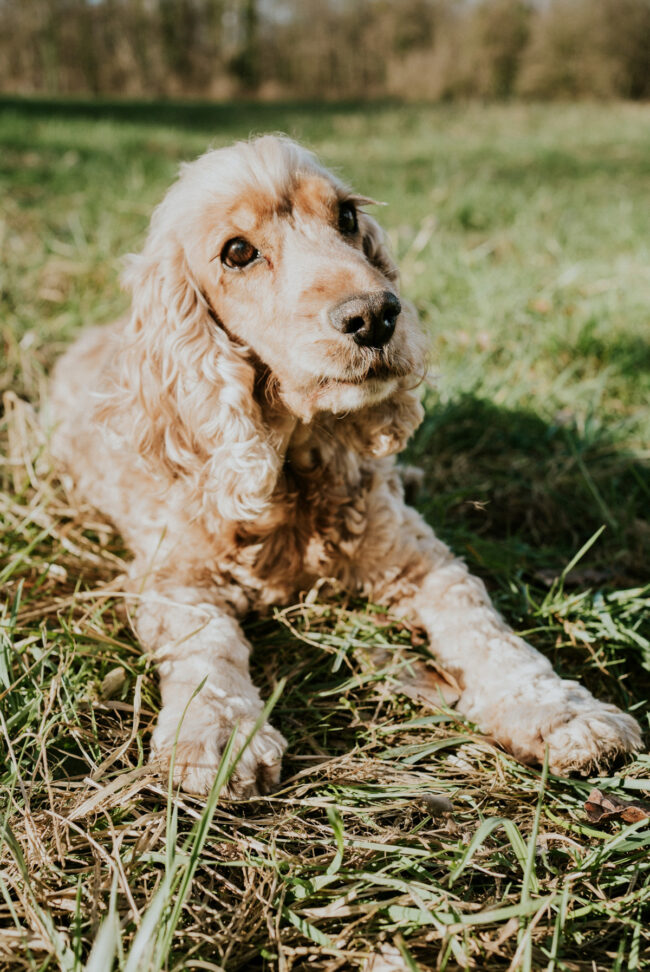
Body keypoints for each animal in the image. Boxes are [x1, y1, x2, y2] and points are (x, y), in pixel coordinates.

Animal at [48, 137, 640, 792]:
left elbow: (485, 630)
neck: (295, 469)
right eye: (237, 252)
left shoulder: (421, 559)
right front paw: (217, 734)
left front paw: (562, 712)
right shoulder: (175, 576)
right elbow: (206, 645)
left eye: (348, 217)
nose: (376, 315)